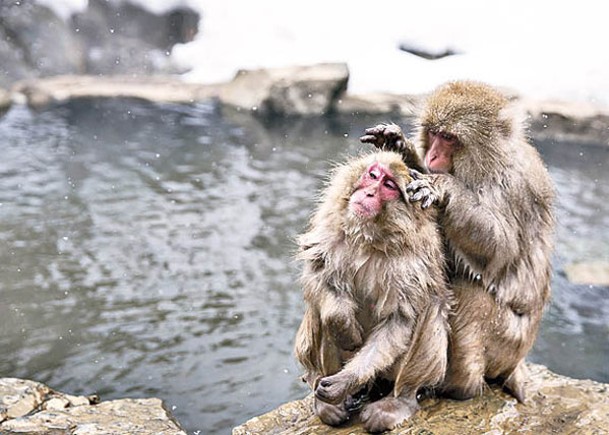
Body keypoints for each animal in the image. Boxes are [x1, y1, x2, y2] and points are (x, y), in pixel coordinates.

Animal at [294, 151, 452, 432]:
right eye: (373, 175)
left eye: (388, 186)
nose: (368, 193)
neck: (370, 236)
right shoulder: (330, 227)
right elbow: (318, 275)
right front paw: (344, 327)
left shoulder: (412, 264)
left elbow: (399, 320)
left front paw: (344, 382)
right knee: (320, 313)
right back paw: (326, 400)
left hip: (386, 374)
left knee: (431, 307)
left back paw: (399, 400)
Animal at [360, 80, 556, 404]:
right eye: (433, 134)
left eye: (449, 138)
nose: (432, 157)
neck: (489, 165)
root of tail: (516, 362)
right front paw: (400, 146)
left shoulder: (513, 188)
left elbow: (500, 250)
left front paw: (441, 187)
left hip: (508, 344)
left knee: (471, 295)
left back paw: (458, 388)